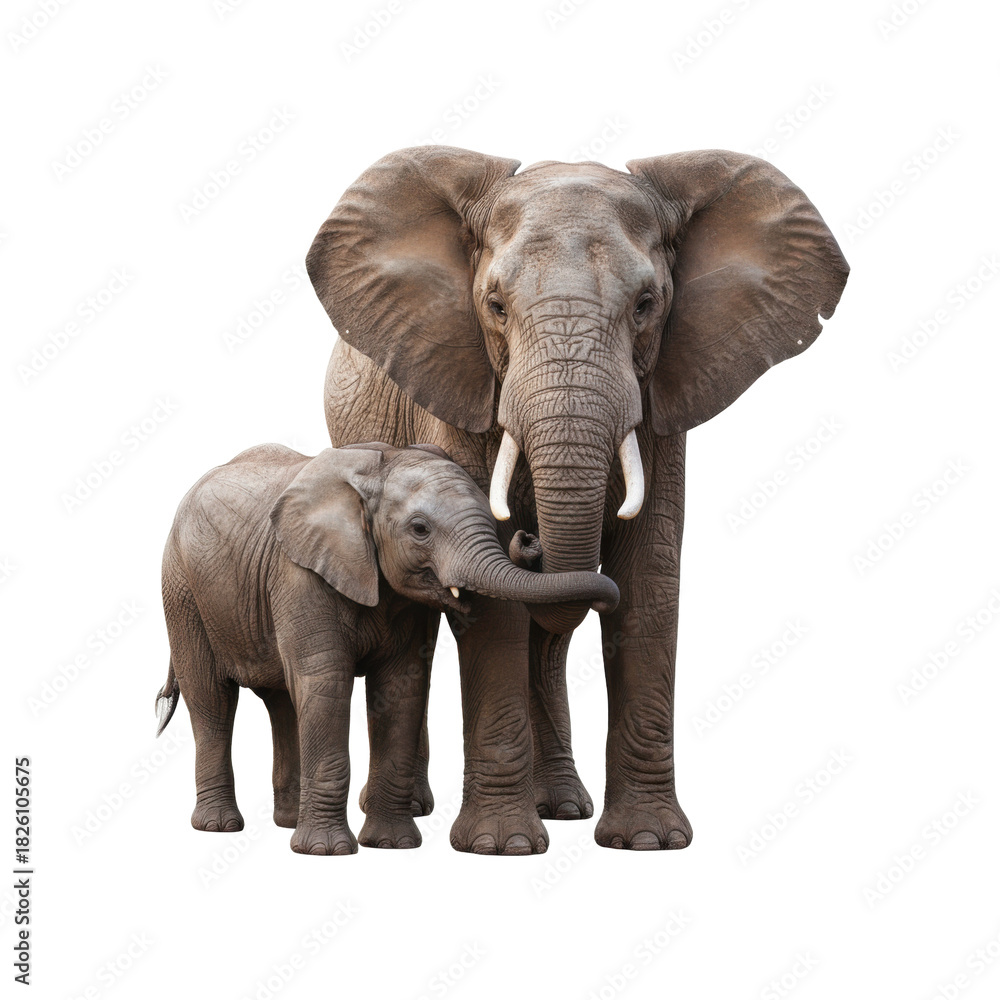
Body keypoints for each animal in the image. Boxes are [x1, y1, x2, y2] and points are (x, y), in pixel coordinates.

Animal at [154, 441, 619, 855]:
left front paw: (391, 845)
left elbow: (399, 690)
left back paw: (286, 821)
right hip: (182, 591)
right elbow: (326, 684)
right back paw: (219, 827)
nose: (528, 539)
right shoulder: (299, 574)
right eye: (419, 529)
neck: (380, 468)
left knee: (281, 701)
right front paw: (325, 852)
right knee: (212, 700)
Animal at [306, 146, 849, 854]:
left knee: (550, 641)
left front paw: (648, 842)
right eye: (495, 305)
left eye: (647, 304)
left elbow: (648, 587)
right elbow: (498, 609)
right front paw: (501, 847)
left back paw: (563, 807)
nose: (529, 539)